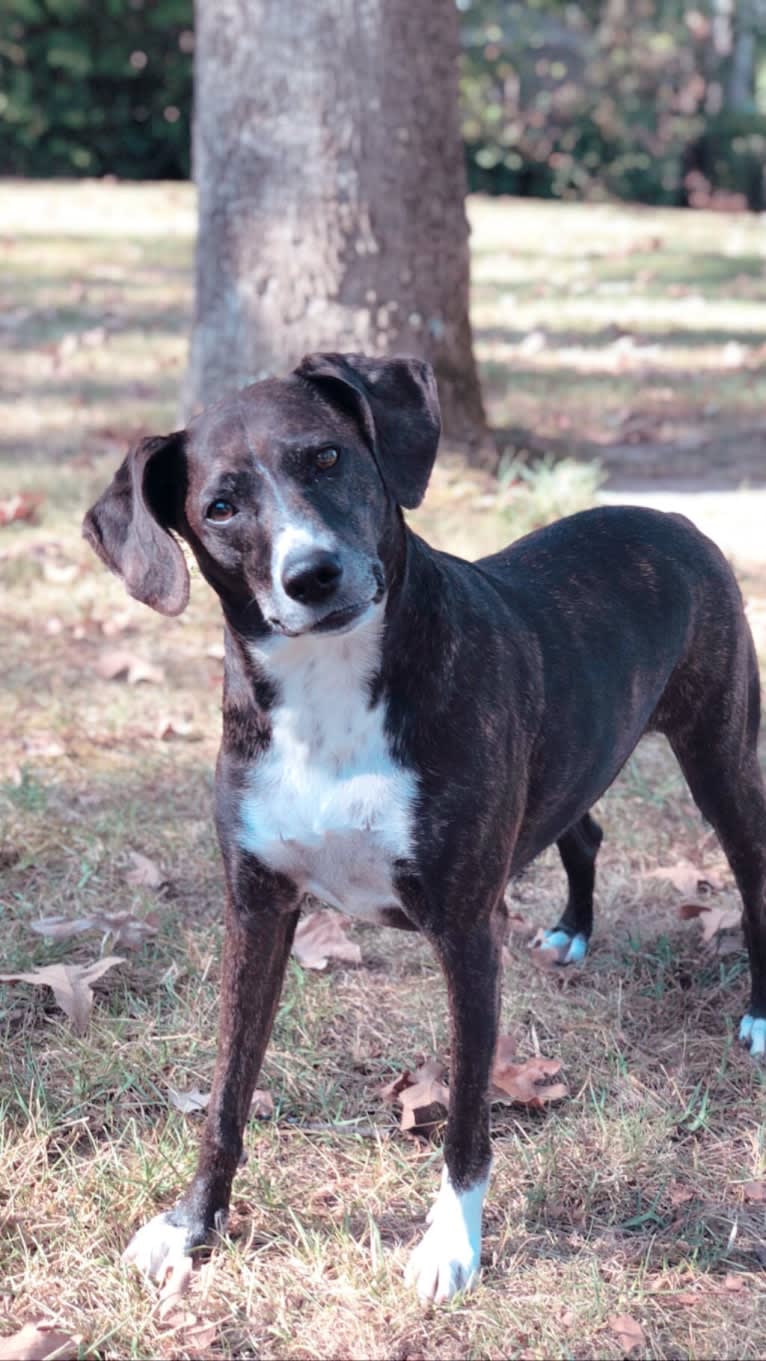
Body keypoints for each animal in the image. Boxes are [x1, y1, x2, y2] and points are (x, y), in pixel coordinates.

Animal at [84, 353, 766, 1306]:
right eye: (218, 506)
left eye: (327, 456)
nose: (312, 574)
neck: (330, 693)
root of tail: (666, 514)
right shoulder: (255, 910)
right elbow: (226, 1093)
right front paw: (192, 1226)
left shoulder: (467, 929)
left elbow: (469, 1111)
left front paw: (451, 1243)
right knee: (583, 827)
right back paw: (572, 930)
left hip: (720, 755)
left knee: (752, 868)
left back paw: (759, 1016)